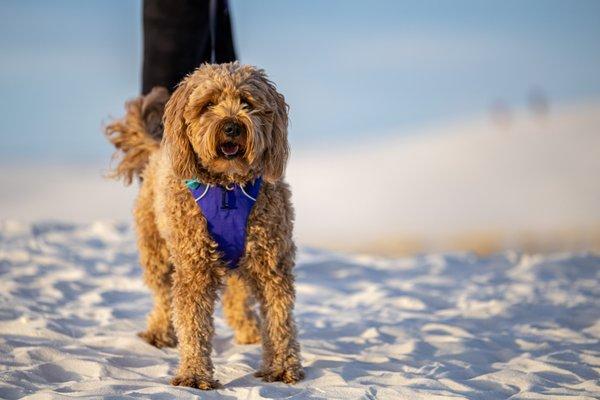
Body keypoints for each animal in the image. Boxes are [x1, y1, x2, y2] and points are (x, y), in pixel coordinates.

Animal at [104, 63, 304, 390]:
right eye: (208, 105)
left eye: (247, 102)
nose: (232, 126)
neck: (228, 189)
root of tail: (158, 147)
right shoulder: (193, 267)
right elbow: (192, 322)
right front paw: (194, 374)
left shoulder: (270, 263)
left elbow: (280, 318)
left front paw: (282, 367)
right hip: (157, 249)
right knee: (163, 295)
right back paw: (159, 332)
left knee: (237, 297)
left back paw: (249, 331)